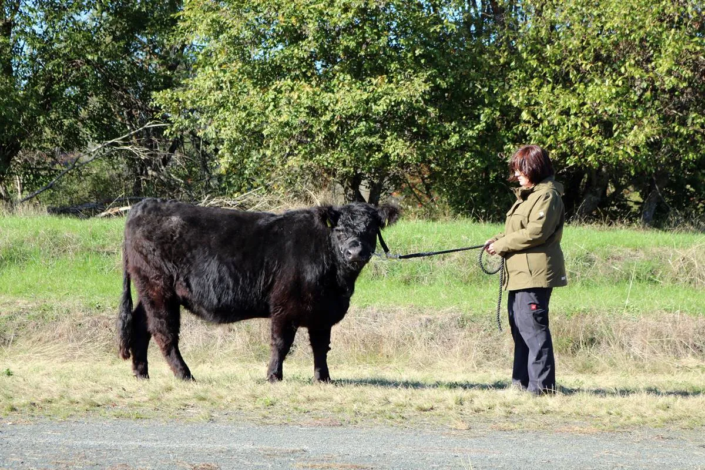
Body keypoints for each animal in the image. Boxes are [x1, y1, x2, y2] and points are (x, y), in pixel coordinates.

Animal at [118, 198, 398, 382]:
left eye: (371, 228)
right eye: (339, 230)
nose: (355, 252)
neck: (338, 282)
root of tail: (145, 205)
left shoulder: (323, 311)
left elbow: (321, 346)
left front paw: (323, 379)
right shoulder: (285, 306)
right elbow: (281, 343)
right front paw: (274, 376)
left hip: (148, 291)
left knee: (140, 325)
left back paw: (141, 373)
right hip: (159, 289)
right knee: (164, 332)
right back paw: (185, 375)